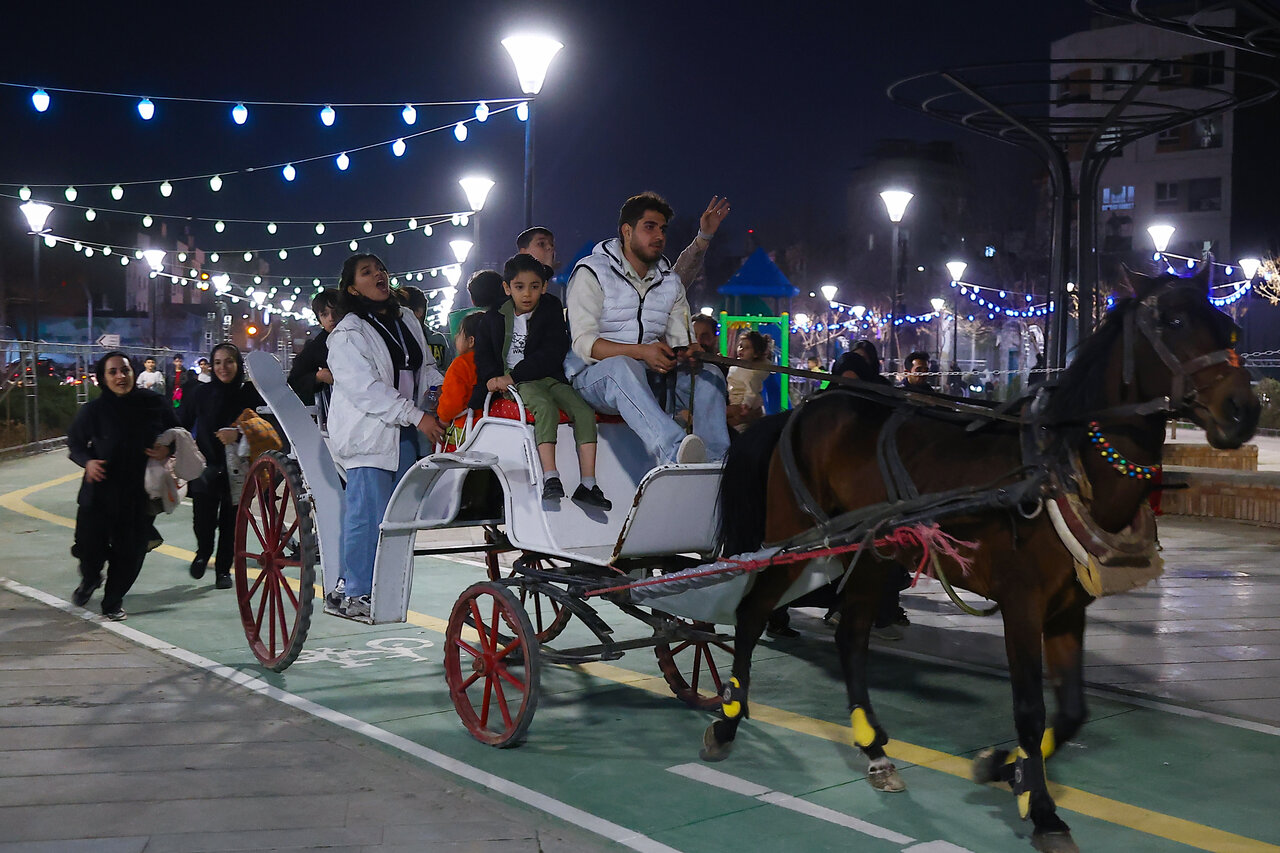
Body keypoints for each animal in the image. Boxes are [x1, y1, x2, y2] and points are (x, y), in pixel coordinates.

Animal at [706, 266, 1254, 850]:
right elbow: (1031, 708)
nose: (1244, 411)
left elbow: (1073, 710)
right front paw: (1041, 808)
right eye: (1171, 321)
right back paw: (728, 719)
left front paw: (1007, 768)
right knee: (751, 614)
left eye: (1230, 328)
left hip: (873, 554)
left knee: (851, 638)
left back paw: (873, 747)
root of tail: (799, 409)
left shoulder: (1068, 609)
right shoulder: (1022, 604)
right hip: (793, 538)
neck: (1060, 466)